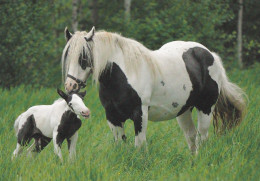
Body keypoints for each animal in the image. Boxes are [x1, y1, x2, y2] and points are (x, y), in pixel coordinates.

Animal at [61, 26, 246, 153]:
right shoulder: (112, 116)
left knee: (203, 137)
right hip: (184, 111)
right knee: (191, 136)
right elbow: (120, 143)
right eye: (68, 55)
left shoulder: (140, 113)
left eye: (83, 57)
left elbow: (139, 144)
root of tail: (211, 55)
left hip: (206, 108)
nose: (70, 86)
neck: (123, 74)